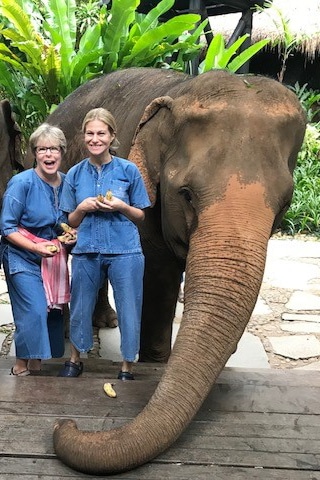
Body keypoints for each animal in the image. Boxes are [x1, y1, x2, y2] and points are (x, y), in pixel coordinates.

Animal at [28, 65, 306, 474]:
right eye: (186, 194)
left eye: (285, 203)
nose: (65, 423)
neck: (181, 90)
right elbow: (158, 276)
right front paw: (154, 361)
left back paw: (107, 321)